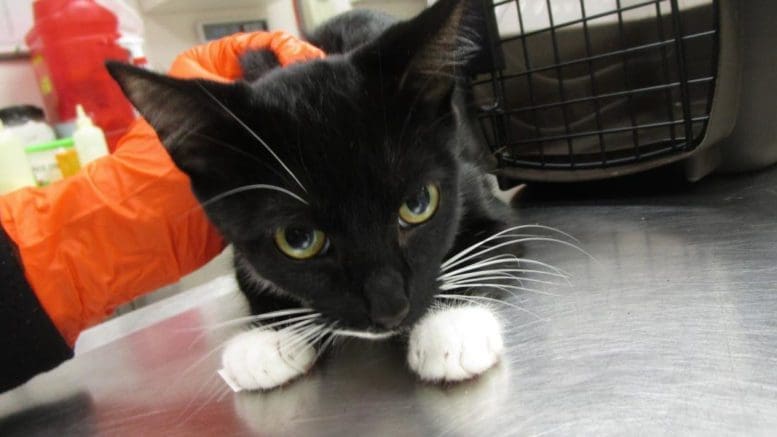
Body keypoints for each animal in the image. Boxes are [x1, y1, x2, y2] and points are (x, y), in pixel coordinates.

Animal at [107, 0, 528, 388]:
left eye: (418, 204)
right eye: (298, 239)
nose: (390, 310)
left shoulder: (470, 179)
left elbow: (495, 240)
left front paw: (452, 326)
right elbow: (248, 271)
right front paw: (268, 340)